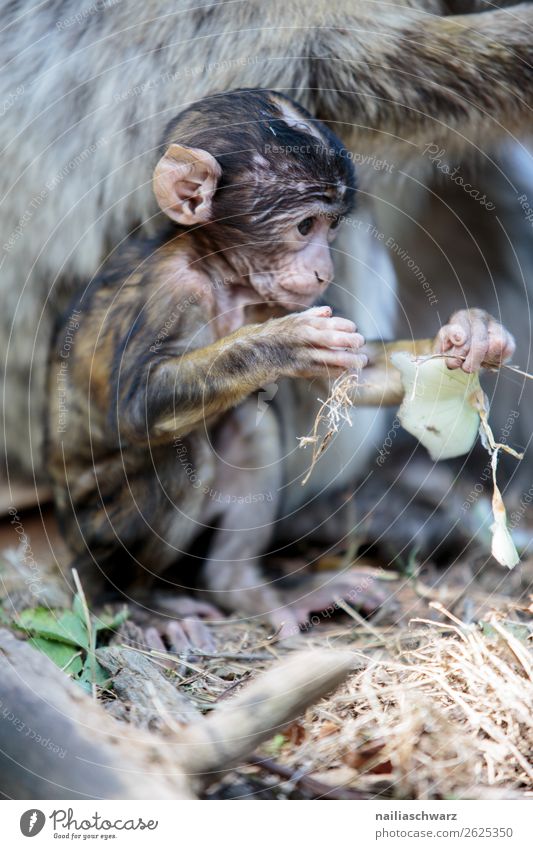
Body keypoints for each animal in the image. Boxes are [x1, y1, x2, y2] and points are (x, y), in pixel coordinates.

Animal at [47, 88, 512, 644]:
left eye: (333, 227)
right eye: (305, 225)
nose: (325, 269)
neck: (220, 273)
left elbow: (359, 376)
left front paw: (472, 335)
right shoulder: (169, 293)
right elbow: (133, 408)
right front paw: (284, 345)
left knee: (250, 428)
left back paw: (243, 586)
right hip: (89, 533)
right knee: (181, 452)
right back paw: (128, 601)